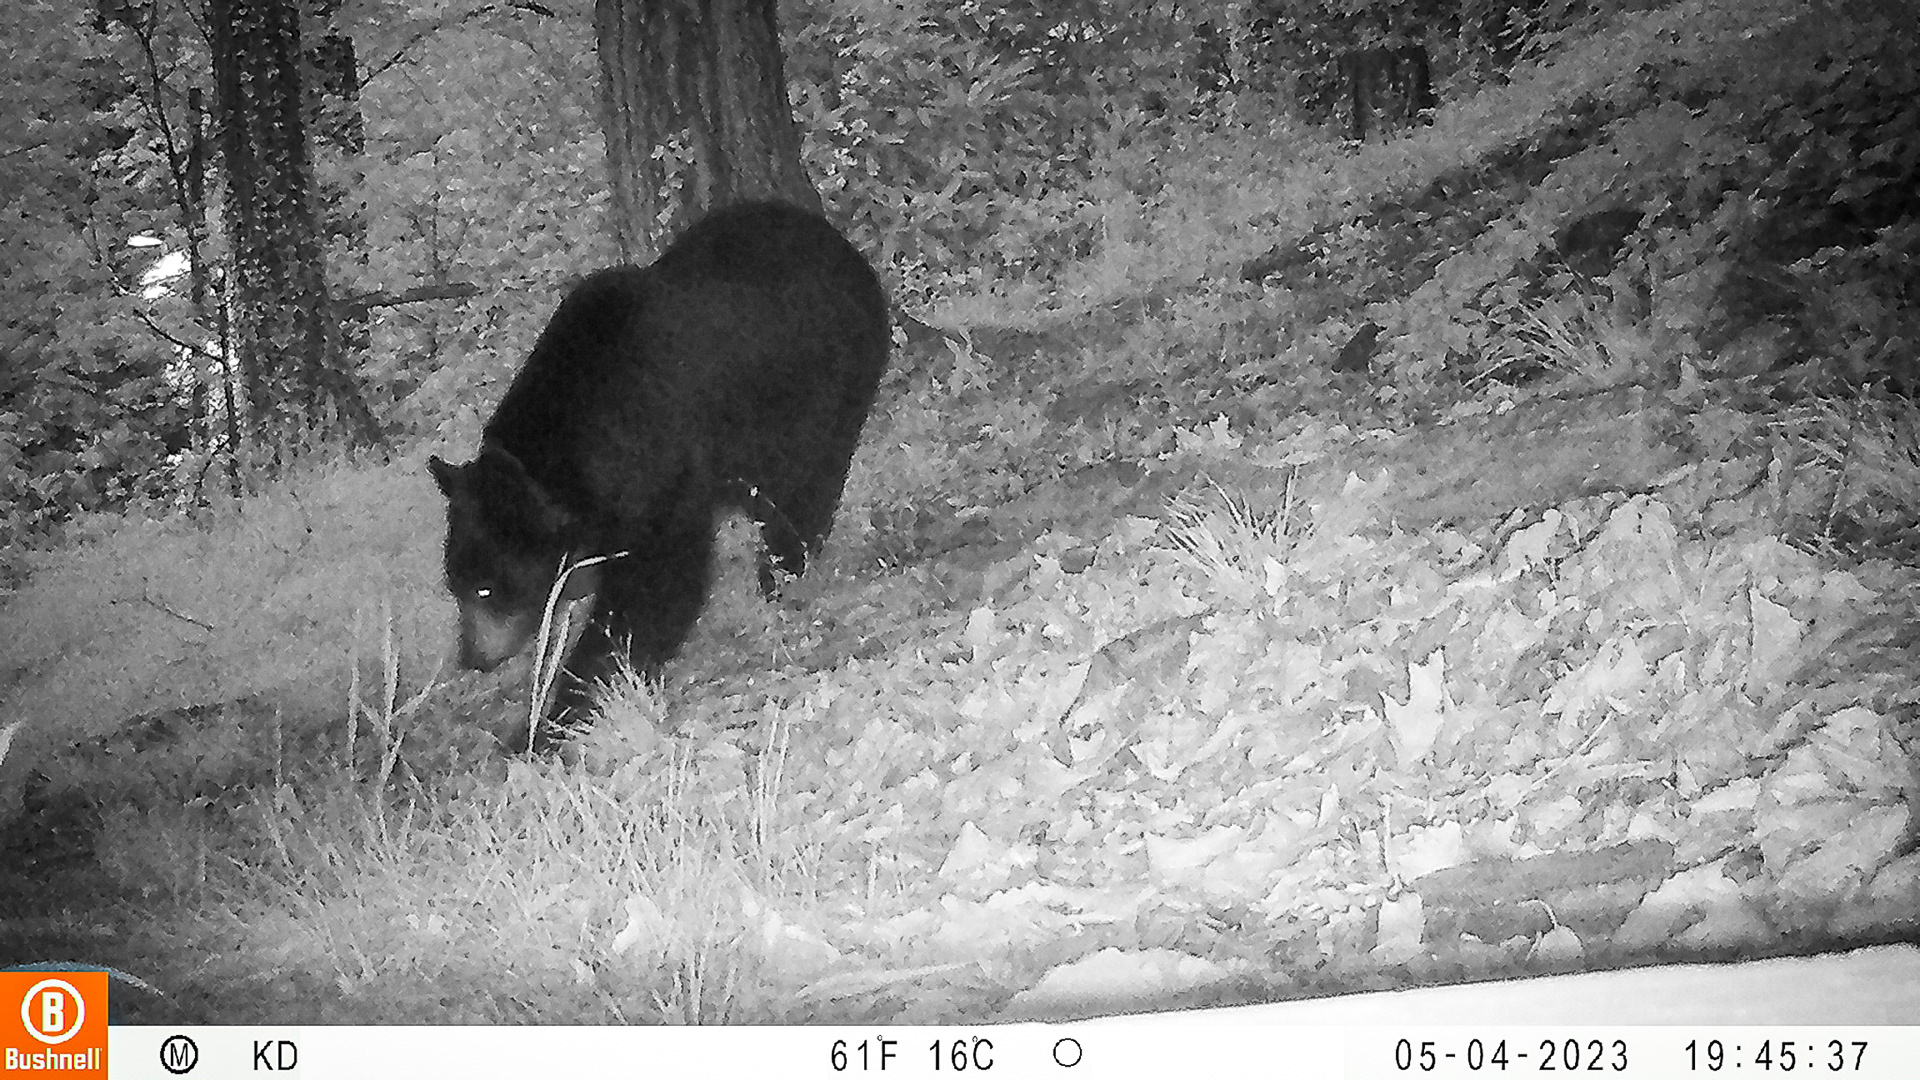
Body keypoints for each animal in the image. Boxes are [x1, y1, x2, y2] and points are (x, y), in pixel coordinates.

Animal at [429, 200, 889, 752]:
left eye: (485, 589)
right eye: (454, 583)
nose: (471, 657)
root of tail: (847, 250)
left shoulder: (663, 462)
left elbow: (657, 585)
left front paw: (559, 710)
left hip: (823, 384)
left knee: (806, 481)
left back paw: (782, 566)